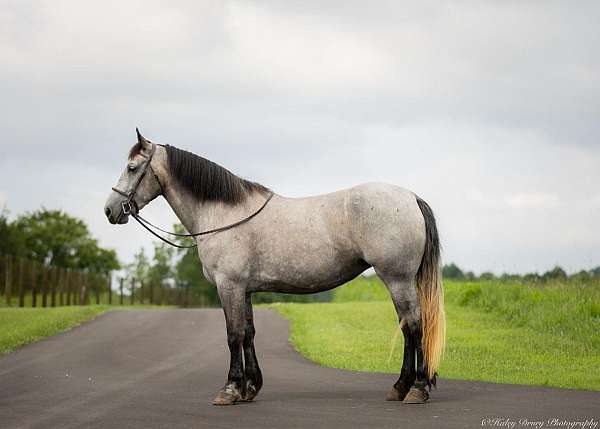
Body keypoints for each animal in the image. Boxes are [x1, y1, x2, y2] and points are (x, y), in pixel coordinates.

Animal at [104, 130, 446, 404]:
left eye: (132, 168)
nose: (110, 210)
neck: (223, 213)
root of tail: (411, 198)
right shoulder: (244, 290)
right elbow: (248, 333)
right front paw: (250, 388)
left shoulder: (229, 286)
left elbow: (233, 335)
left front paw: (230, 389)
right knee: (410, 327)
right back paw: (402, 387)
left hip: (397, 279)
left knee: (414, 327)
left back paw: (414, 389)